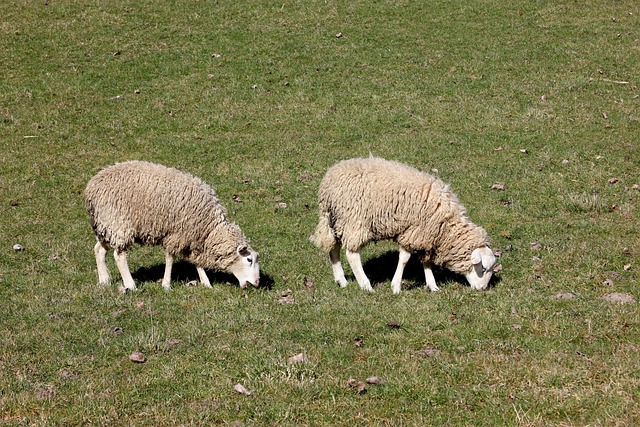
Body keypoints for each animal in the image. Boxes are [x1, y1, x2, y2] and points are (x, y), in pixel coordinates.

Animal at [85, 160, 260, 290]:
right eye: (249, 259)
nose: (257, 283)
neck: (209, 230)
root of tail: (92, 186)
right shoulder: (177, 234)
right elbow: (170, 258)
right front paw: (166, 284)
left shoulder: (192, 238)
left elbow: (196, 261)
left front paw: (206, 282)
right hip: (118, 223)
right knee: (119, 255)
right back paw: (130, 285)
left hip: (106, 225)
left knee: (99, 250)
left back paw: (104, 280)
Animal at [310, 157, 496, 294]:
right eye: (482, 268)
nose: (482, 289)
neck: (446, 227)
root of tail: (328, 183)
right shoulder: (413, 231)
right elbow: (405, 259)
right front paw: (396, 286)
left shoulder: (426, 235)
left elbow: (426, 260)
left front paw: (432, 285)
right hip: (355, 220)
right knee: (352, 254)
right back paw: (366, 285)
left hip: (335, 220)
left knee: (333, 248)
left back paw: (341, 280)